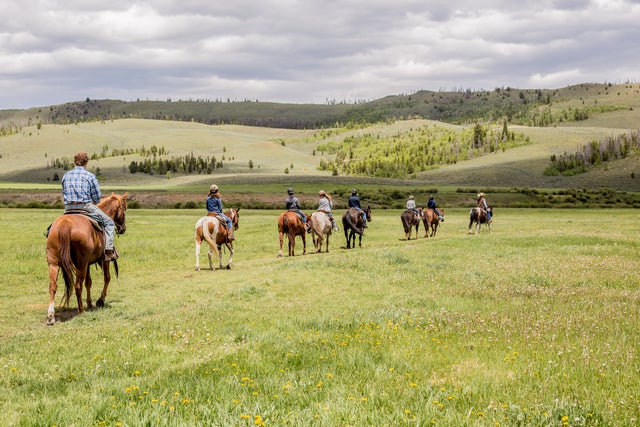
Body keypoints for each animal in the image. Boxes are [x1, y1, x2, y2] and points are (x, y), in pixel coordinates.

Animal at [45, 192, 129, 326]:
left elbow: (88, 282)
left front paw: (89, 303)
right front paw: (100, 300)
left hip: (55, 263)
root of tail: (66, 224)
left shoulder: (88, 263)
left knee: (53, 286)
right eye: (124, 209)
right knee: (78, 285)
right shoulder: (103, 260)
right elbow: (107, 277)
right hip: (80, 264)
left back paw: (50, 316)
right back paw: (81, 310)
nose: (123, 229)